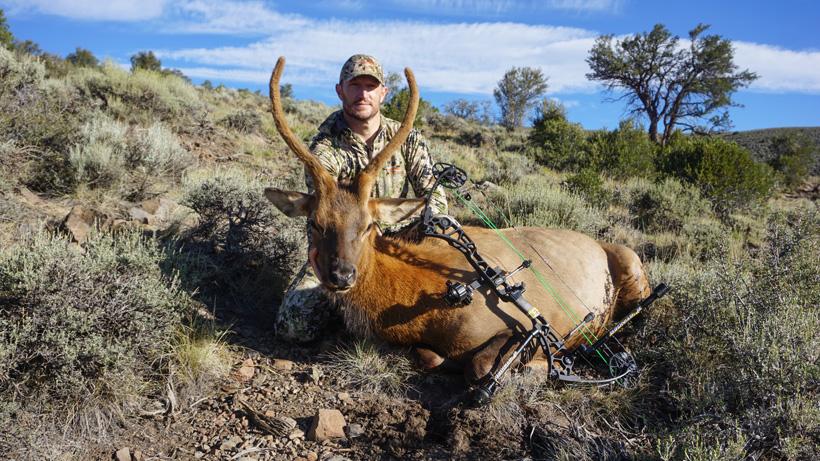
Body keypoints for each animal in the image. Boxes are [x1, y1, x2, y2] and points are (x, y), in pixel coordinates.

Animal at [264, 57, 651, 384]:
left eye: (368, 225)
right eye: (315, 223)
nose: (341, 275)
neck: (421, 306)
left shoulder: (525, 324)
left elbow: (481, 364)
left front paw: (539, 367)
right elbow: (429, 357)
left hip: (633, 265)